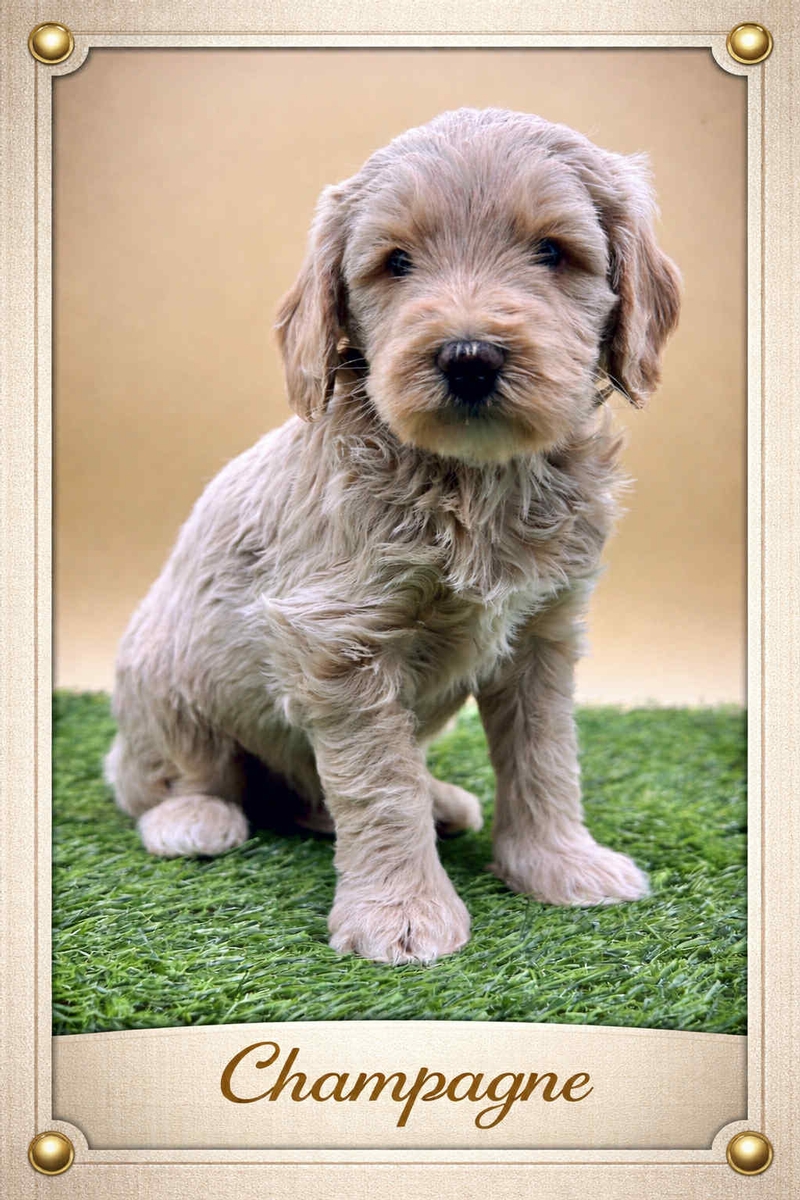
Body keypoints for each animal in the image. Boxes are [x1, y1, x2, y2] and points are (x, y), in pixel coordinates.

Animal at [105, 108, 680, 964]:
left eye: (553, 252)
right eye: (396, 263)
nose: (469, 357)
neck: (475, 478)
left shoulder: (542, 632)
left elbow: (545, 757)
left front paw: (558, 865)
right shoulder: (337, 639)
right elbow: (380, 786)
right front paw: (401, 913)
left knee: (317, 795)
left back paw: (437, 799)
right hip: (164, 677)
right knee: (163, 776)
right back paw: (193, 819)